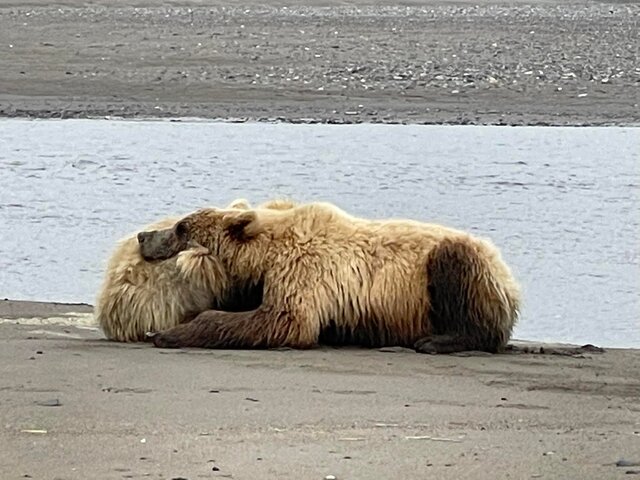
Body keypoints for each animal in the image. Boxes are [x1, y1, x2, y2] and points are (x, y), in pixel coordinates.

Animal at [139, 201, 520, 354]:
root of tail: (510, 275)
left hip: (459, 268)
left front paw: (169, 333)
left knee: (455, 263)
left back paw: (437, 341)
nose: (144, 235)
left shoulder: (302, 269)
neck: (264, 257)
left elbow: (284, 320)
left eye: (181, 227)